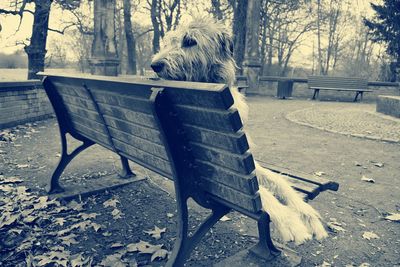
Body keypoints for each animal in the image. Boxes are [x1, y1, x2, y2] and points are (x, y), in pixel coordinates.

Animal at [150, 15, 328, 244]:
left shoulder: (248, 161)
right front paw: (289, 221)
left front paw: (307, 214)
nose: (154, 65)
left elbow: (279, 181)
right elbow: (259, 193)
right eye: (169, 42)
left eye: (189, 41)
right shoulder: (228, 169)